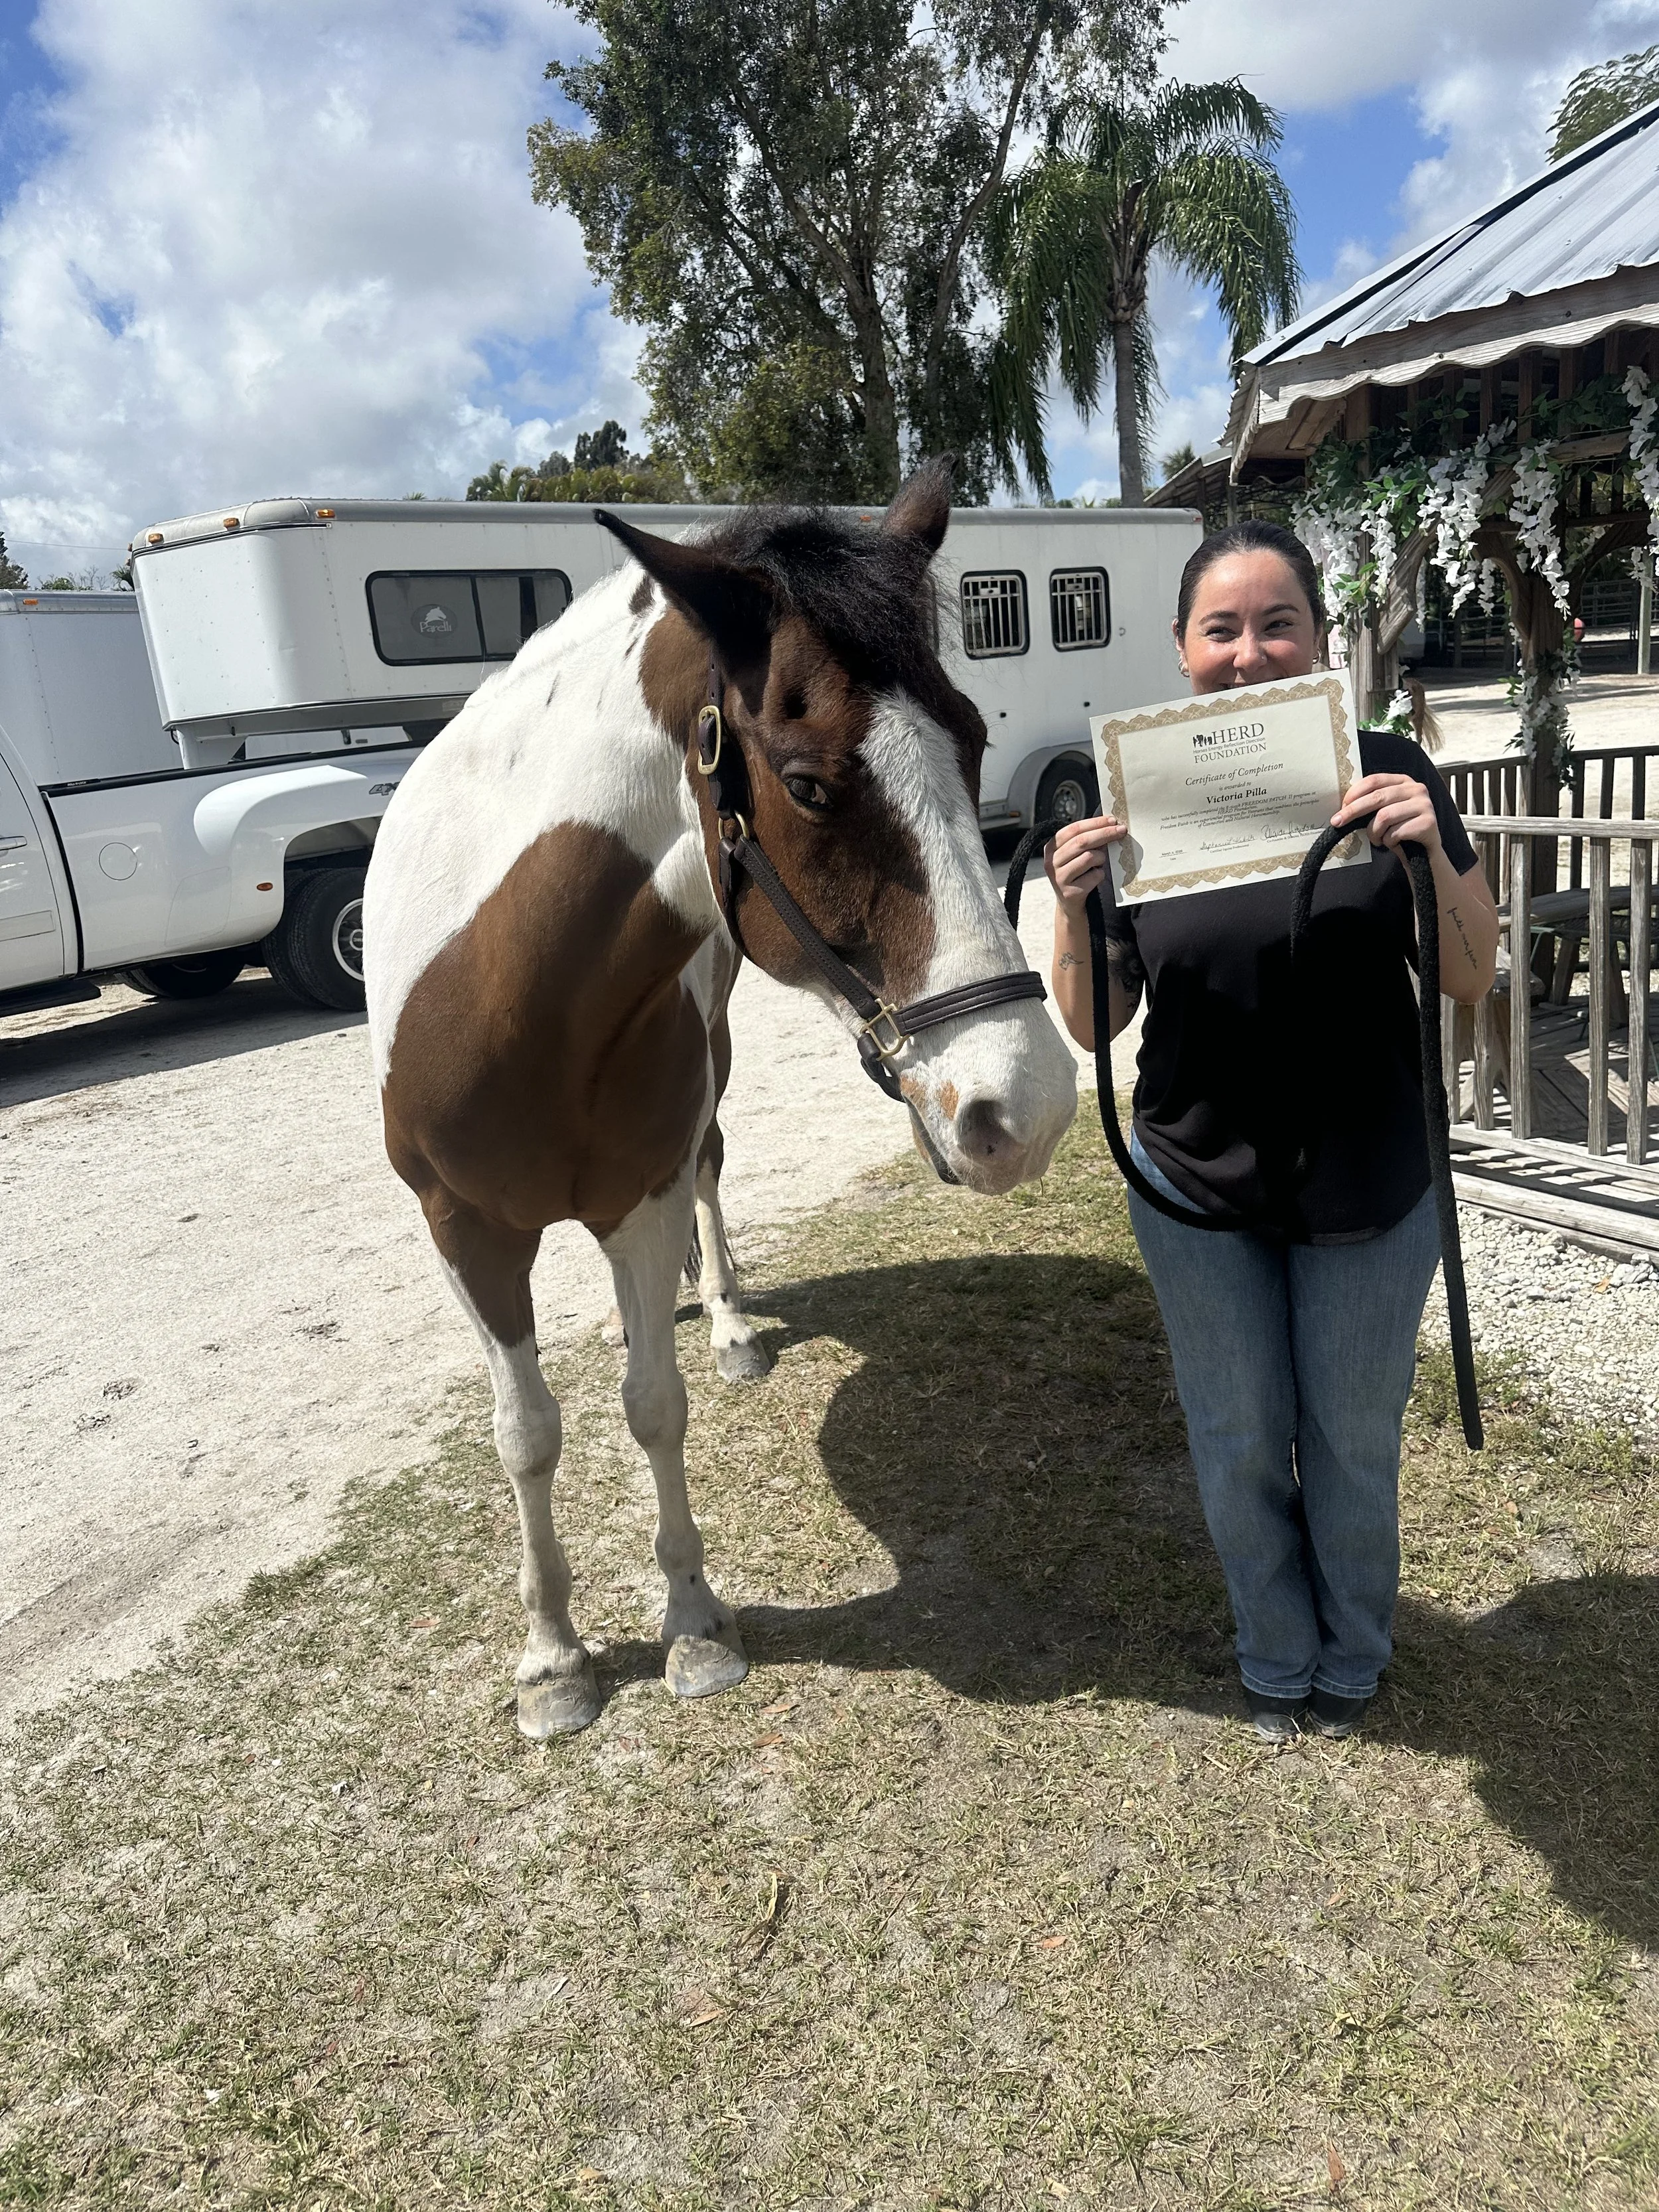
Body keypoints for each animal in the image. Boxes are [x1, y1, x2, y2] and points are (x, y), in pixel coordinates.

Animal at [362, 460, 1078, 1736]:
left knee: (710, 1166)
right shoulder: (463, 1233)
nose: (1024, 1108)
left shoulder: (638, 1202)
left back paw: (734, 1318)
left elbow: (654, 1401)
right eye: (807, 783)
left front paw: (692, 1624)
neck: (506, 996)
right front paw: (553, 1659)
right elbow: (525, 1434)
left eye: (972, 737)